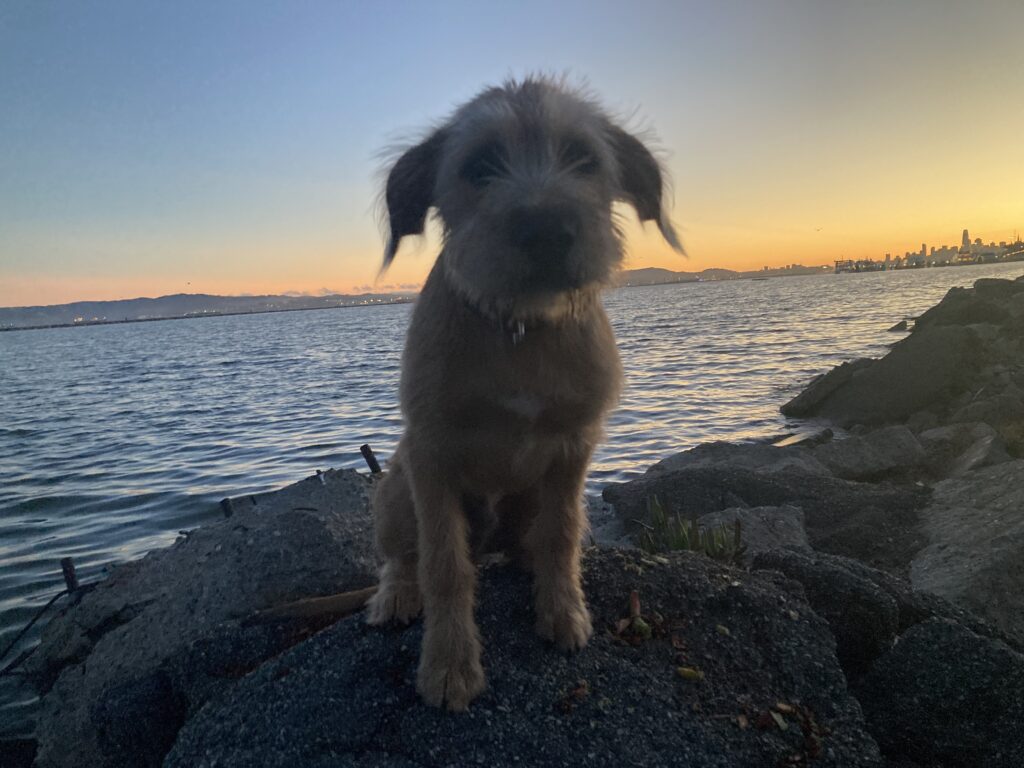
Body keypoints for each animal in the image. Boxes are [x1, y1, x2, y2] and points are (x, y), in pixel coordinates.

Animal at [368, 76, 679, 708]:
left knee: (534, 541)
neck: (518, 324)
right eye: (480, 165)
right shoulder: (429, 453)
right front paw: (449, 665)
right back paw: (396, 594)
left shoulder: (573, 447)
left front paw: (563, 613)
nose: (548, 230)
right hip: (392, 491)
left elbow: (562, 535)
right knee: (403, 557)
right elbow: (444, 564)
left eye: (583, 158)